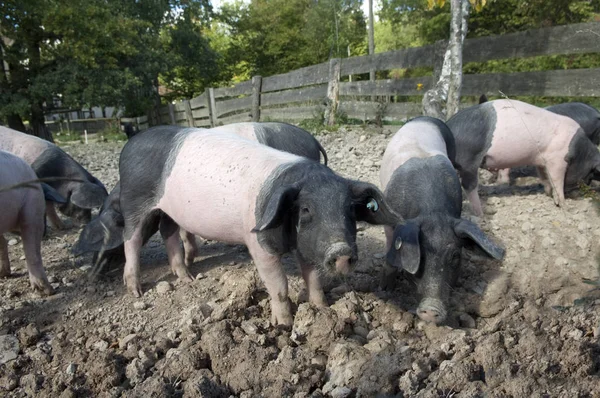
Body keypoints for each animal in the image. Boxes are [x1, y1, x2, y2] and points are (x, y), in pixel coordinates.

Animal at [73, 123, 330, 270]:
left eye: (109, 244)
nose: (93, 271)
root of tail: (312, 139)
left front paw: (189, 260)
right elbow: (184, 232)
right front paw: (190, 260)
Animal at [117, 126, 398, 324]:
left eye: (349, 209)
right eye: (306, 209)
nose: (341, 251)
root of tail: (129, 146)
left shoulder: (307, 246)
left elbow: (315, 280)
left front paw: (322, 310)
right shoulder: (259, 245)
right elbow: (280, 287)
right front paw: (284, 325)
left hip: (169, 211)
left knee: (169, 232)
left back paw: (188, 278)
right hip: (133, 200)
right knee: (131, 239)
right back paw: (136, 291)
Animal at [382, 117, 504, 324]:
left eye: (455, 256)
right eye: (420, 256)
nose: (432, 309)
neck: (432, 211)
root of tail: (426, 118)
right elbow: (390, 258)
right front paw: (386, 289)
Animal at [446, 99, 600, 218]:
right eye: (590, 173)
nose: (578, 195)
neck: (579, 151)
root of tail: (449, 126)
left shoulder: (541, 161)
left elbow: (545, 178)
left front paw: (548, 194)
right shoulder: (557, 159)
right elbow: (557, 181)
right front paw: (564, 206)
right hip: (469, 160)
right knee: (469, 185)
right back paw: (482, 214)